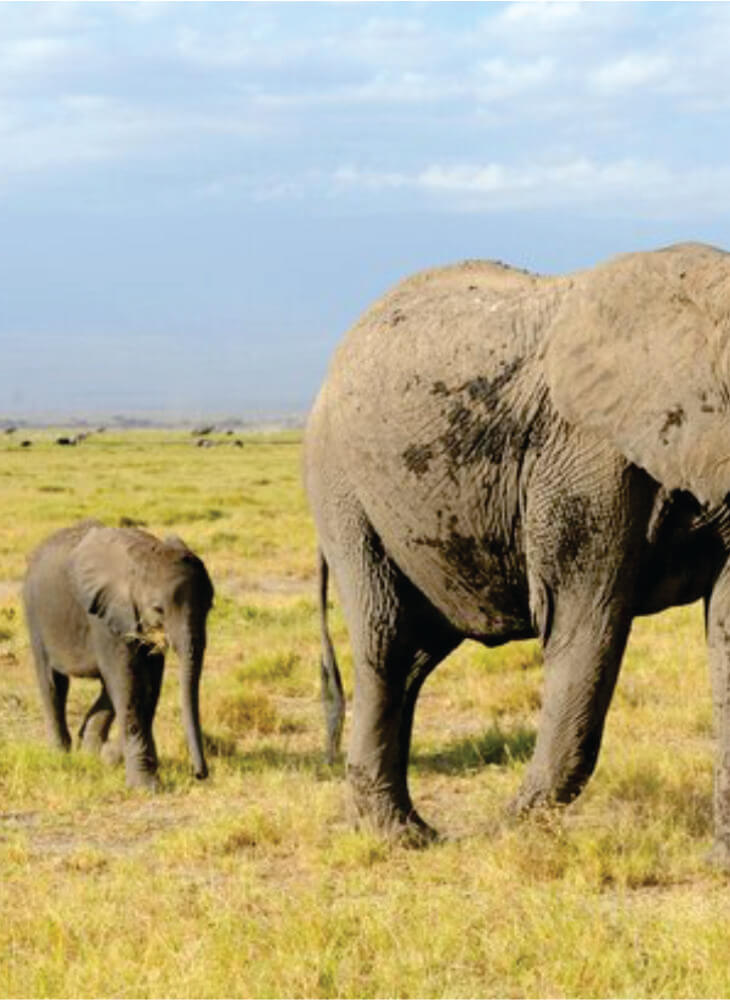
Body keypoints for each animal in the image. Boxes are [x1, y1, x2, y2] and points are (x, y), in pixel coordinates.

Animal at [22, 520, 215, 784]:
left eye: (209, 607)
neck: (143, 558)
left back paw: (90, 753)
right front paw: (145, 785)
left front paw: (119, 759)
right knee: (53, 682)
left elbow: (149, 684)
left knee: (106, 686)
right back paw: (61, 755)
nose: (200, 774)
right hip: (35, 613)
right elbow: (128, 682)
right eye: (158, 609)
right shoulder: (103, 615)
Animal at [302, 242, 730, 860]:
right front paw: (507, 830)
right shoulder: (582, 455)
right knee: (386, 641)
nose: (495, 826)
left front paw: (720, 863)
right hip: (340, 487)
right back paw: (401, 836)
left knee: (416, 655)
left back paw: (397, 827)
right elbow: (584, 624)